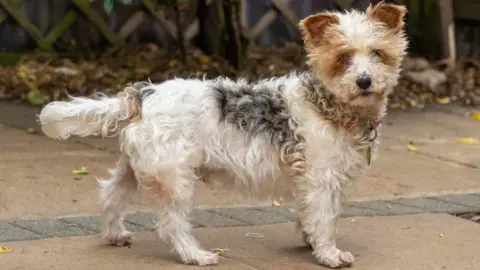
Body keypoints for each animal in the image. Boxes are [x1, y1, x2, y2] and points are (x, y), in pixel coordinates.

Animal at [39, 3, 408, 268]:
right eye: (343, 57)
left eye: (378, 54)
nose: (364, 81)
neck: (329, 105)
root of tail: (142, 93)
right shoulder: (322, 179)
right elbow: (325, 217)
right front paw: (329, 253)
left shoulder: (314, 181)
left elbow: (310, 215)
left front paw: (310, 240)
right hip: (174, 178)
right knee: (171, 224)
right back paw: (196, 255)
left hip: (137, 168)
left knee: (110, 195)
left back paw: (116, 235)